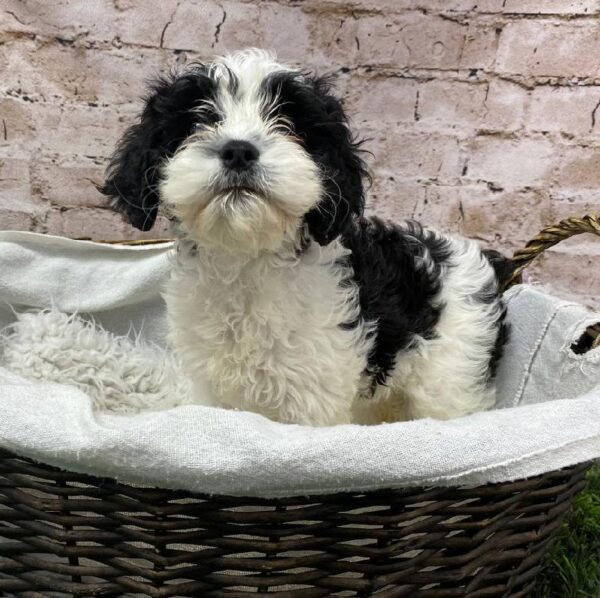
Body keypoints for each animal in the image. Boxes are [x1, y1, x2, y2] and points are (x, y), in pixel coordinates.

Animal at [101, 50, 508, 426]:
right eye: (199, 120)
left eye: (288, 125)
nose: (239, 150)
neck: (247, 256)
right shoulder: (210, 386)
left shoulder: (313, 393)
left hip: (453, 374)